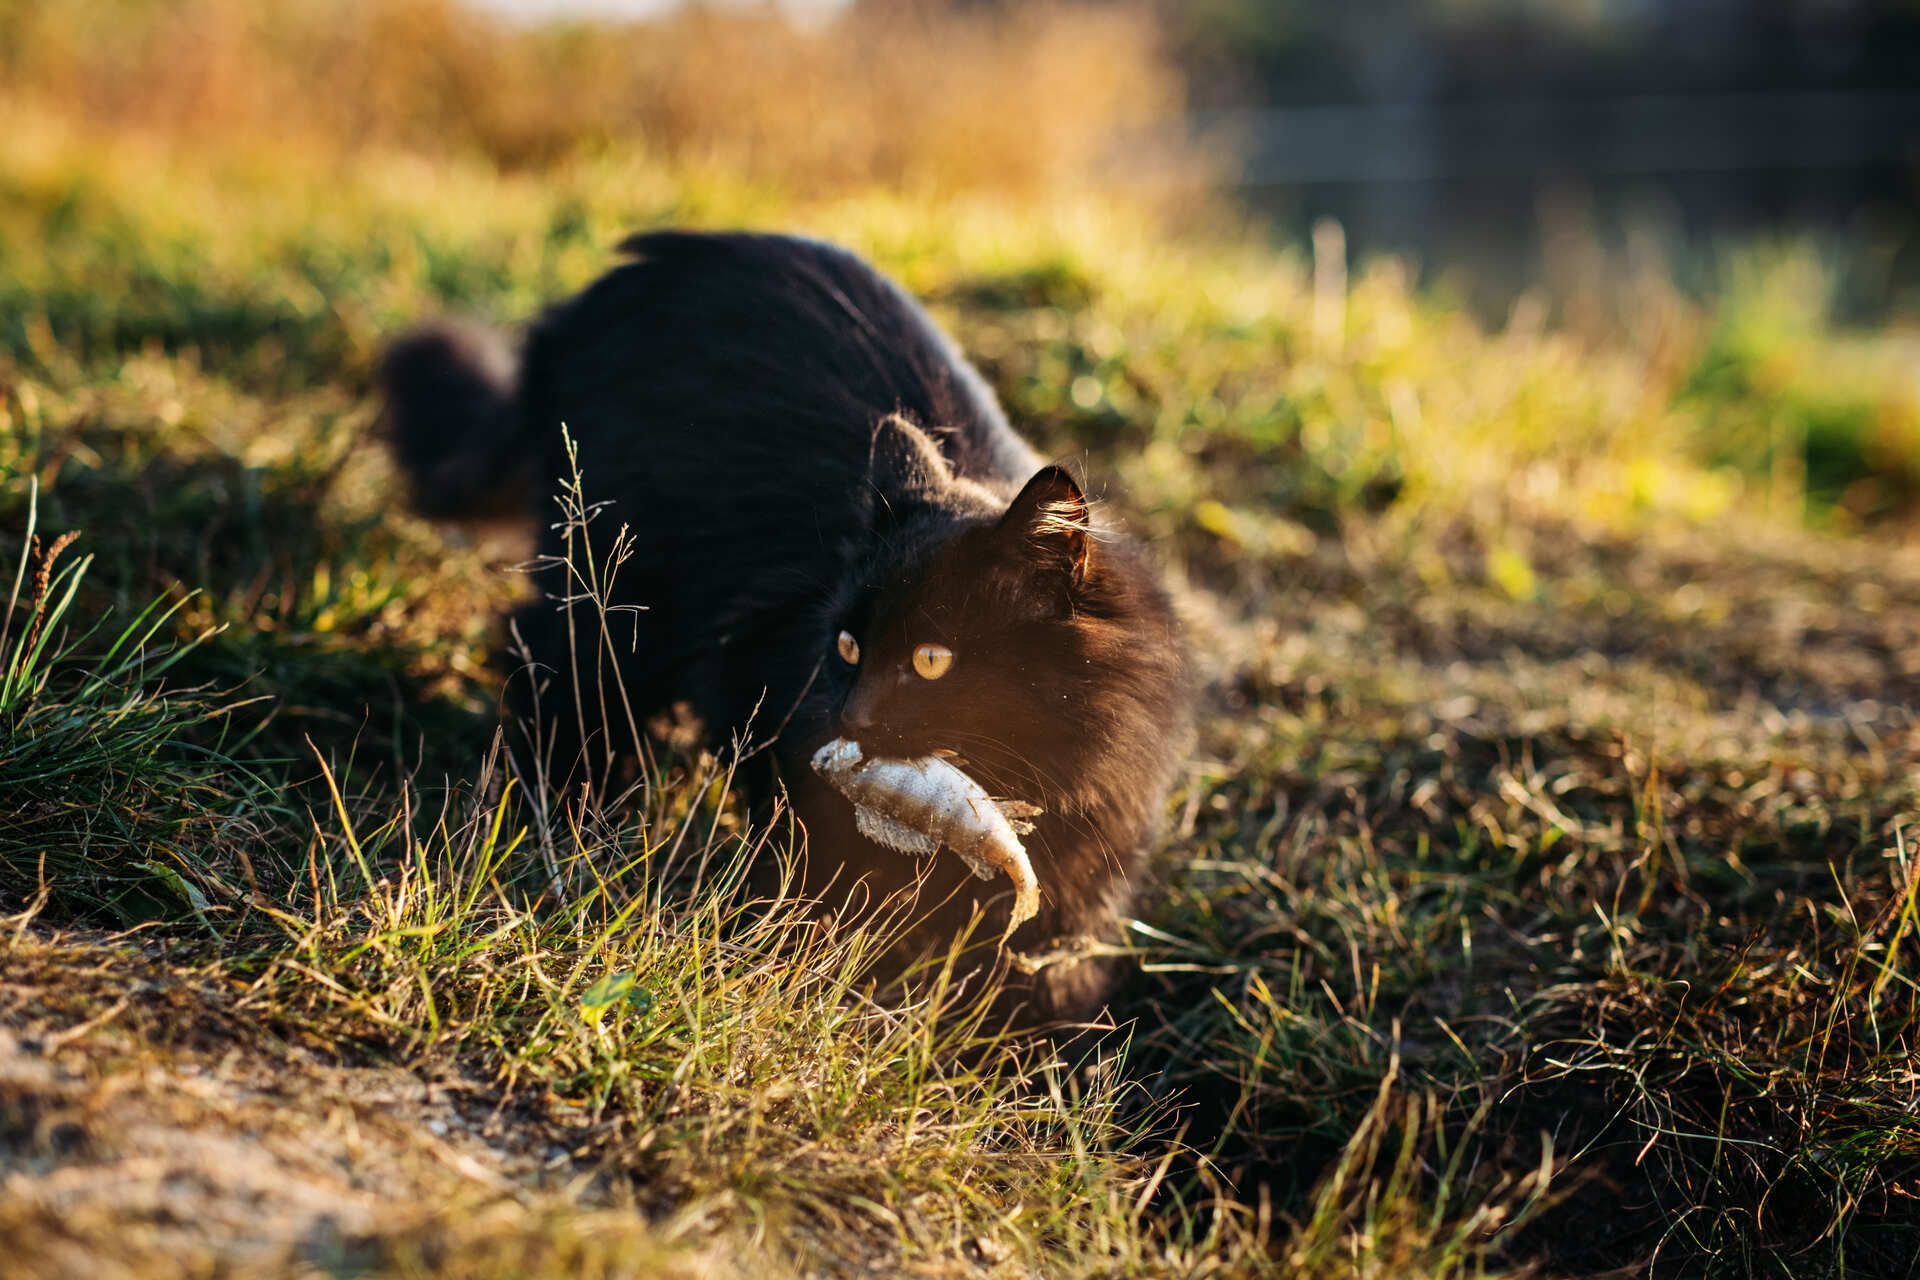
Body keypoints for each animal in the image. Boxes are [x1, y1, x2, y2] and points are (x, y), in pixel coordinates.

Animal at [376, 230, 1190, 1028]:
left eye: (932, 660)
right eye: (848, 647)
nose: (854, 718)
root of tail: (604, 289)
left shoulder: (1083, 881)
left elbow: (1048, 985)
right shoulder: (766, 700)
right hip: (611, 593)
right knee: (550, 677)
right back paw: (566, 816)